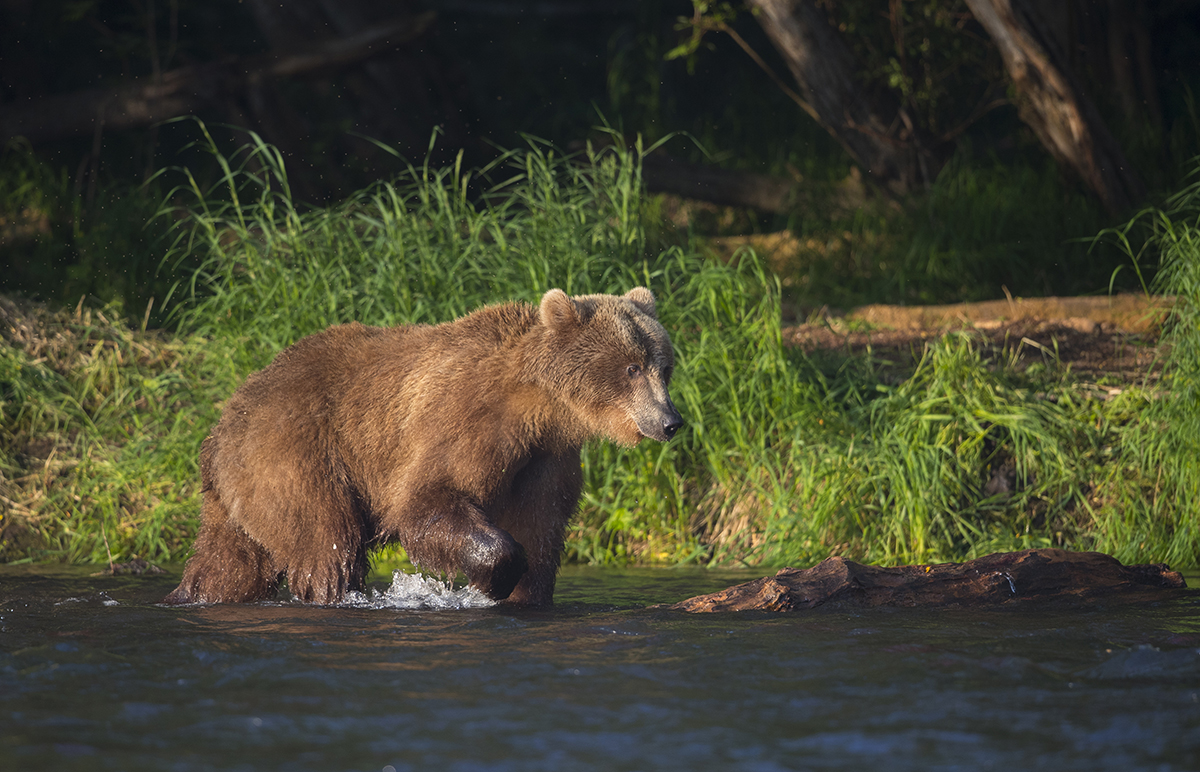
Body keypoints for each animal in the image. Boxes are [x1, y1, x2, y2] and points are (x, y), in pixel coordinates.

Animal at [164, 286, 681, 607]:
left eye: (664, 366)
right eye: (632, 367)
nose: (670, 421)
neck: (539, 408)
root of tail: (222, 422)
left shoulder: (544, 460)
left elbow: (539, 530)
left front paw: (525, 592)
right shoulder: (468, 421)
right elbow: (428, 499)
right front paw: (494, 577)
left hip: (243, 488)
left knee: (230, 559)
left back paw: (193, 593)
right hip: (295, 454)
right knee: (326, 541)